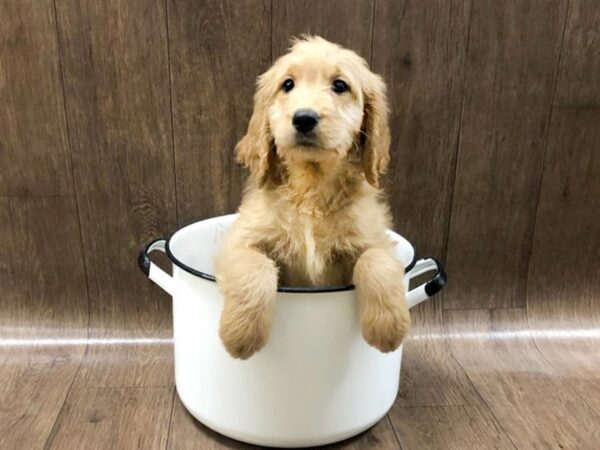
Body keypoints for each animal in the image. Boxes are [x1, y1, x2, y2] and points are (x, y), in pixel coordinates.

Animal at [213, 36, 410, 358]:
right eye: (287, 84)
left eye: (340, 85)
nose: (304, 118)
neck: (311, 192)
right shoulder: (238, 242)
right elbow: (256, 268)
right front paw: (241, 334)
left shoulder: (377, 239)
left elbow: (376, 261)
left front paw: (388, 327)